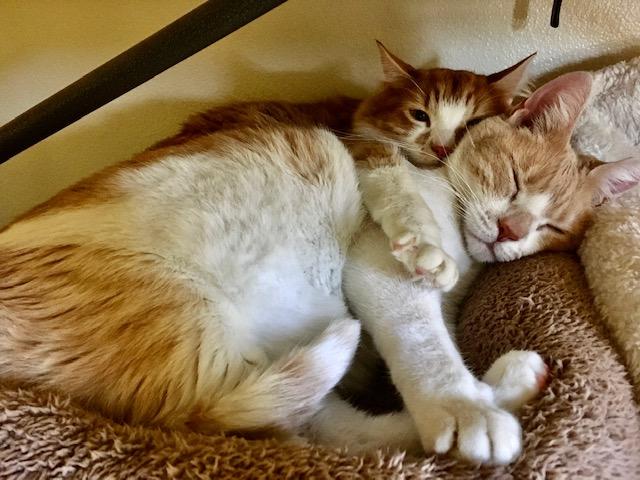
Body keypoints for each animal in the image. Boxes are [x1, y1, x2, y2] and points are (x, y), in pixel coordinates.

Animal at [1, 41, 636, 464]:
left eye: (551, 226)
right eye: (513, 179)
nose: (509, 230)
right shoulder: (382, 265)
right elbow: (424, 344)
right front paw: (461, 406)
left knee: (326, 429)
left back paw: (513, 385)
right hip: (187, 323)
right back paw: (488, 403)